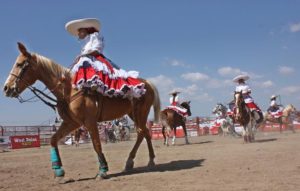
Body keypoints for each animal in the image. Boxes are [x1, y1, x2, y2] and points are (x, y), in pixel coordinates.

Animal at [2, 43, 162, 179]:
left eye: (20, 64)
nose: (6, 88)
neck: (69, 90)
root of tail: (148, 83)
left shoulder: (89, 121)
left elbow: (96, 144)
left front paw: (103, 170)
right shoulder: (72, 123)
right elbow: (53, 139)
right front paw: (58, 170)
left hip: (141, 112)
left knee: (141, 132)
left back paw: (139, 161)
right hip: (133, 114)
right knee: (145, 132)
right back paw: (143, 161)